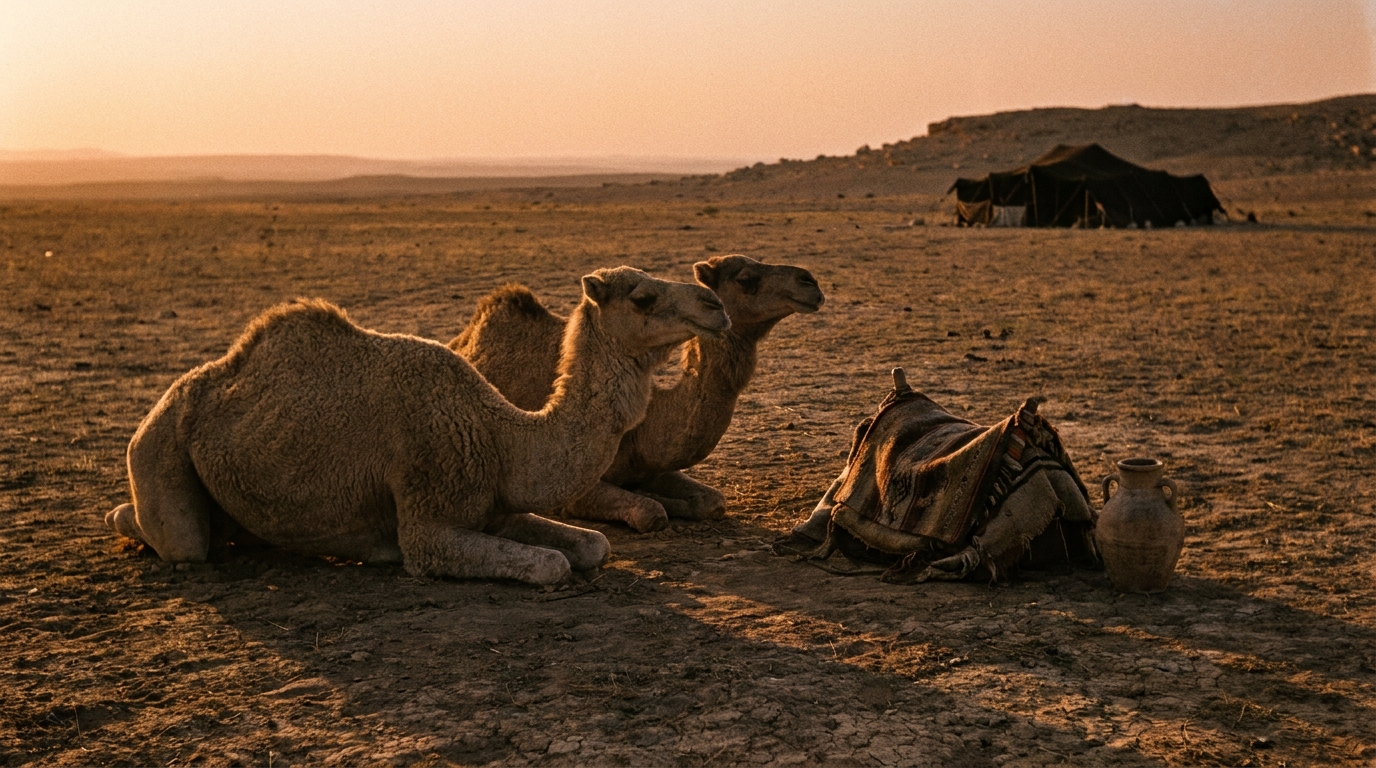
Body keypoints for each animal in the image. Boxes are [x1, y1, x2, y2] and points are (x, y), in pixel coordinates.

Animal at [104, 267, 730, 585]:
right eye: (643, 296)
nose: (716, 305)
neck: (501, 436)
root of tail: (158, 408)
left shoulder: (493, 506)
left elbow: (594, 545)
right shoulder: (427, 520)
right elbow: (549, 566)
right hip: (157, 450)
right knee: (178, 540)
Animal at [451, 254, 823, 532]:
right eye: (746, 278)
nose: (810, 282)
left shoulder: (653, 468)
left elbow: (712, 502)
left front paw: (679, 501)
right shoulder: (576, 485)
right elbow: (650, 512)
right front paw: (665, 504)